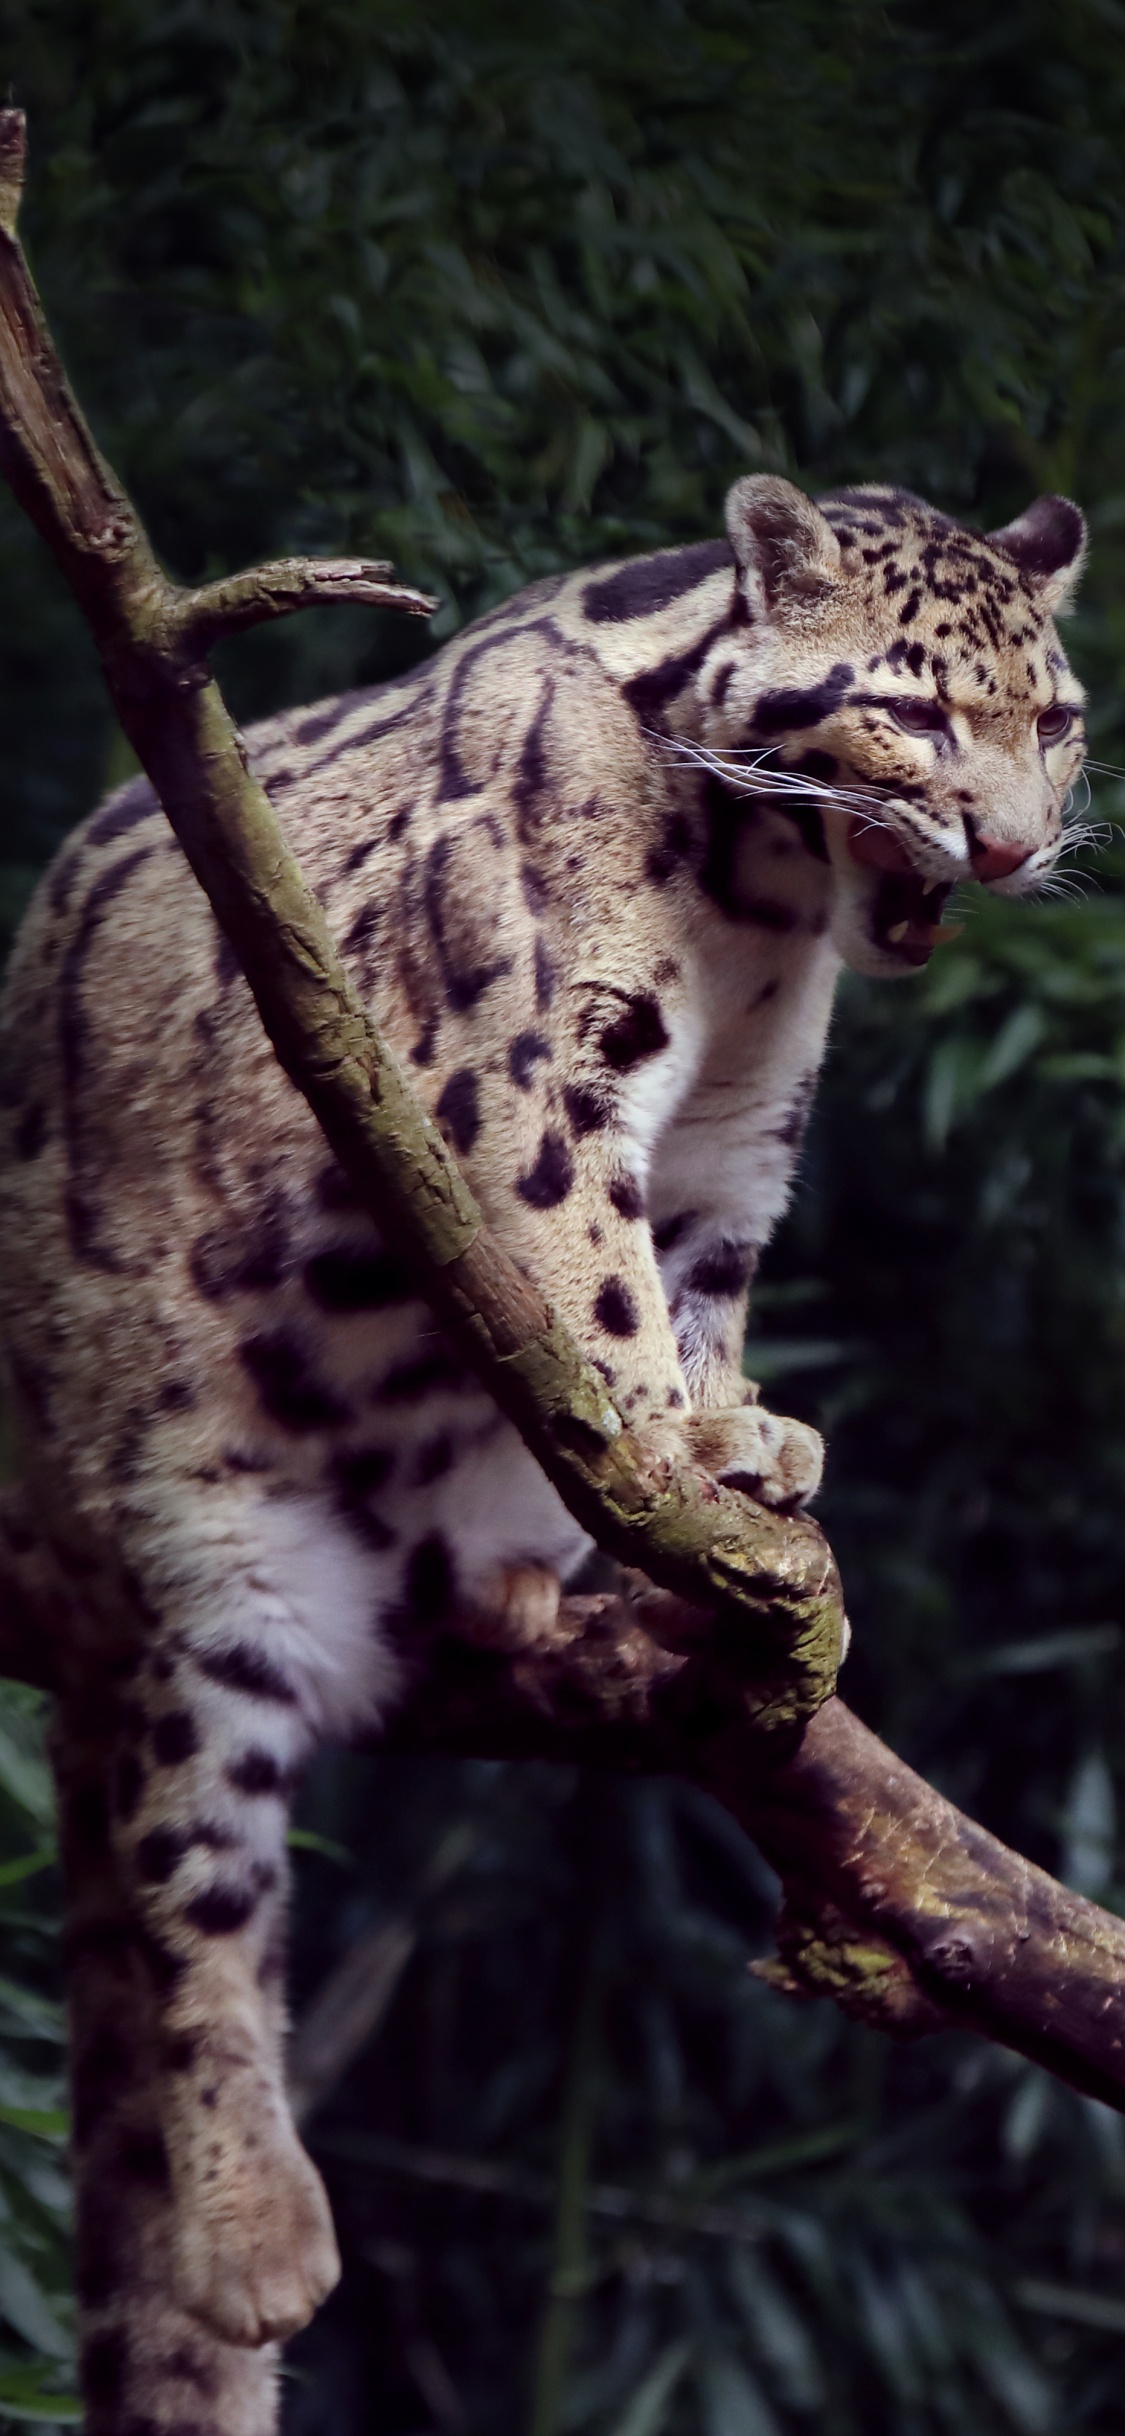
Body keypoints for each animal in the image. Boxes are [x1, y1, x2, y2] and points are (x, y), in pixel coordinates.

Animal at [0, 475, 1088, 2434]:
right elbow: (588, 1270)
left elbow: (696, 1283)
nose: (1007, 851)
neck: (760, 909)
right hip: (203, 1571)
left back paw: (514, 1584)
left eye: (1053, 720)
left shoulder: (740, 1137)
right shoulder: (517, 1074)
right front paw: (683, 1442)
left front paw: (730, 1440)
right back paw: (258, 2233)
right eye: (910, 712)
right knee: (193, 1885)